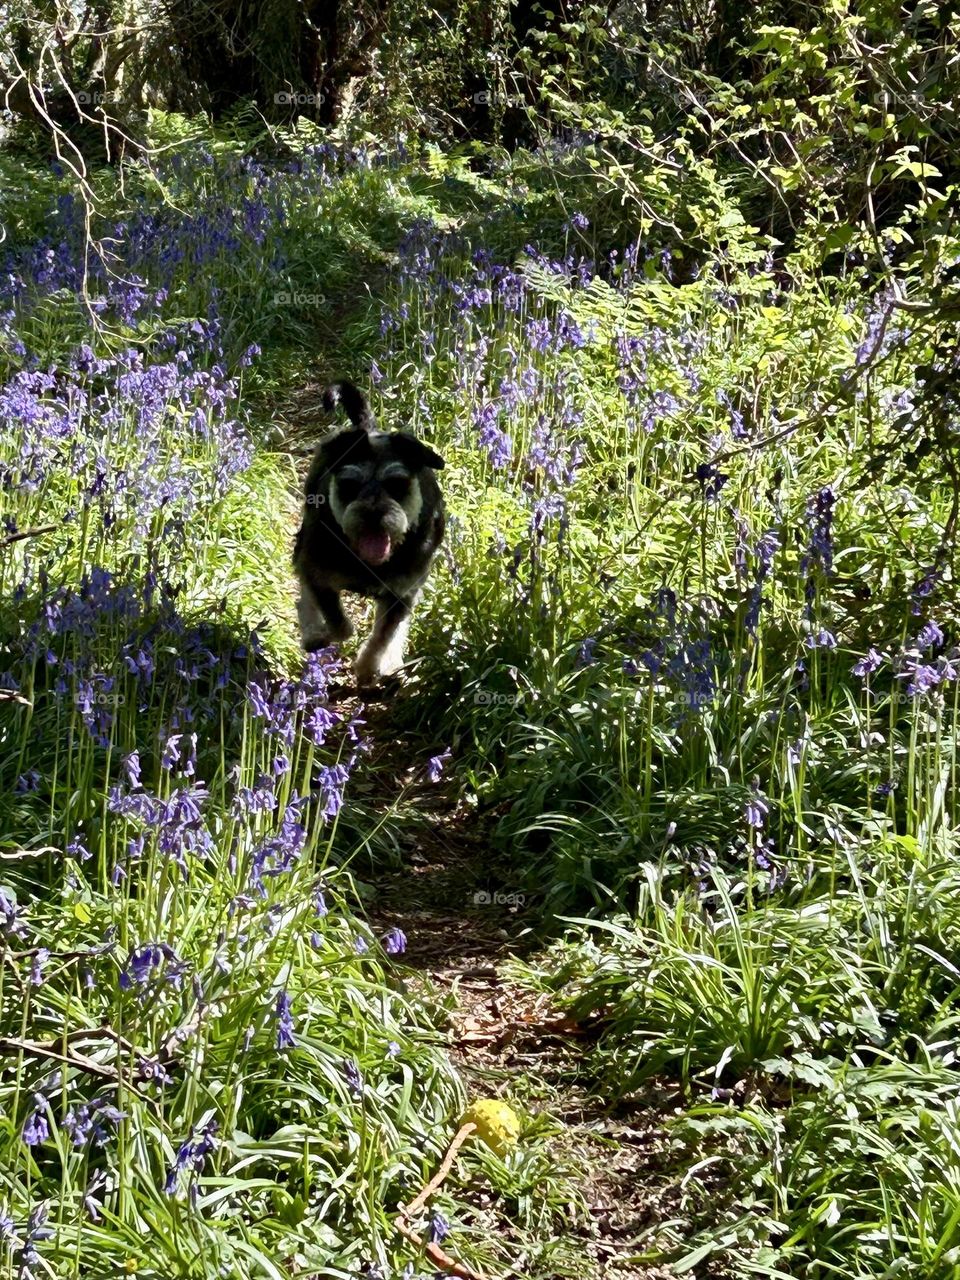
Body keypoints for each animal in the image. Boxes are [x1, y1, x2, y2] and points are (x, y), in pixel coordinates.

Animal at [293, 378, 448, 686]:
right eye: (349, 484)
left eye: (397, 483)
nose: (373, 514)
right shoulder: (318, 572)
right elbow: (340, 625)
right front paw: (320, 635)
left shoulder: (401, 593)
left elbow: (383, 636)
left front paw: (367, 668)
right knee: (304, 592)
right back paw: (312, 630)